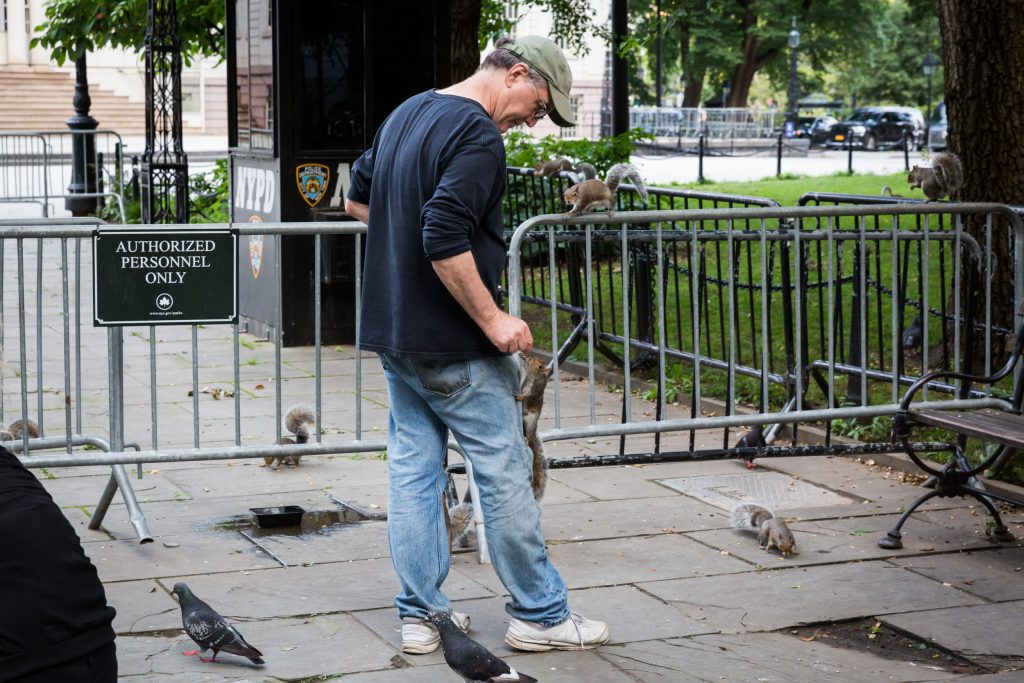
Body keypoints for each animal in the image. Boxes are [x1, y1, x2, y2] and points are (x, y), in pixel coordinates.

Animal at [516, 352, 557, 501]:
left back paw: (527, 438)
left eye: (539, 366)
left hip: (530, 422)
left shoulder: (536, 389)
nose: (528, 358)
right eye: (532, 358)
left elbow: (529, 394)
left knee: (528, 435)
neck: (531, 376)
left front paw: (520, 397)